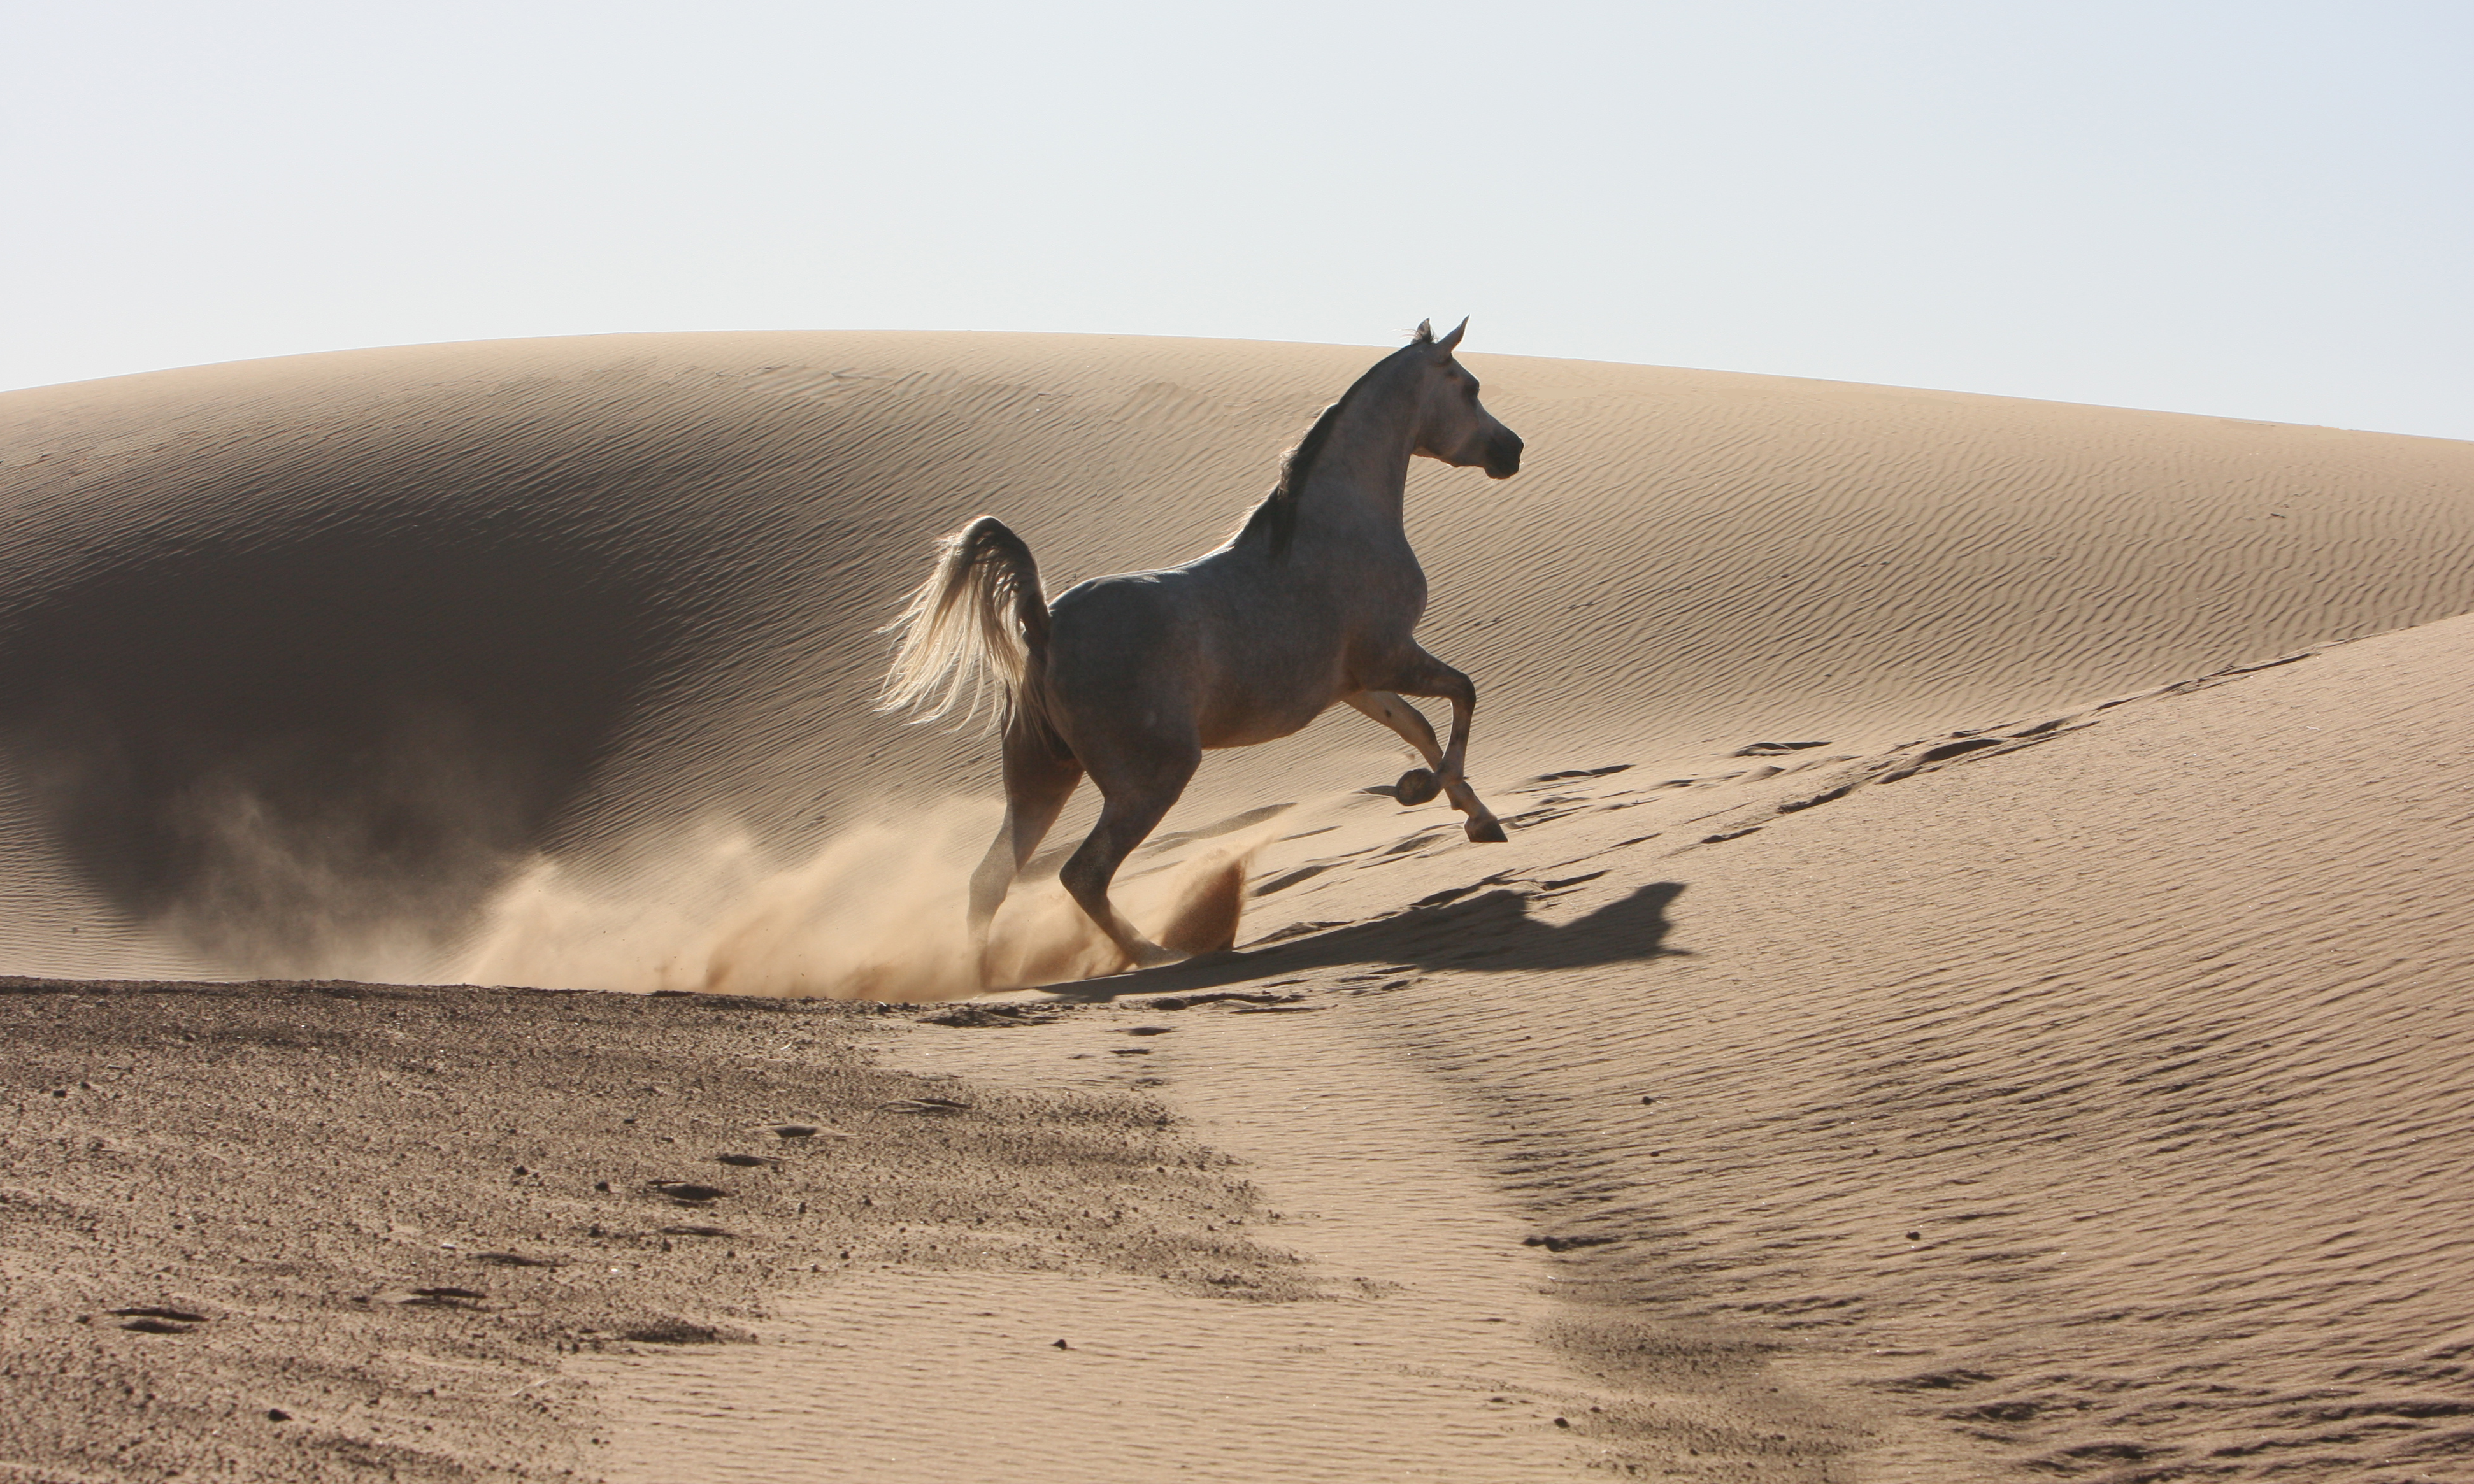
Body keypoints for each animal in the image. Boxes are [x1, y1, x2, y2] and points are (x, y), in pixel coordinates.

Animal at [880, 318, 1524, 978]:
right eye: (1469, 387)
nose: (1513, 449)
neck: (1337, 523)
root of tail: (1044, 626)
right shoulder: (1391, 655)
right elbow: (1464, 696)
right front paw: (1427, 792)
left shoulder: (1357, 684)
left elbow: (1419, 726)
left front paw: (1477, 815)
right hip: (1151, 778)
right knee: (1082, 874)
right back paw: (1157, 954)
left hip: (1041, 778)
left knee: (990, 880)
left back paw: (982, 976)